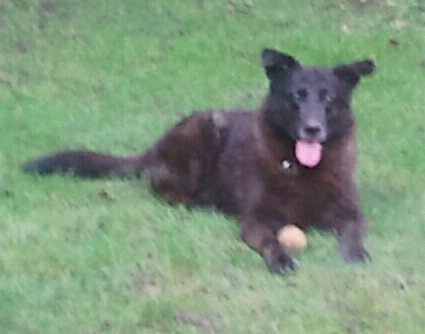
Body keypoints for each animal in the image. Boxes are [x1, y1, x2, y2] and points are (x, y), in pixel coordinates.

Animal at [24, 49, 374, 272]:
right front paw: (281, 259)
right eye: (297, 96)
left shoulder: (351, 213)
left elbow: (354, 232)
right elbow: (269, 241)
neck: (302, 170)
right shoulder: (255, 220)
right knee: (165, 191)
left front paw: (356, 253)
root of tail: (154, 148)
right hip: (204, 130)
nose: (313, 129)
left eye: (327, 98)